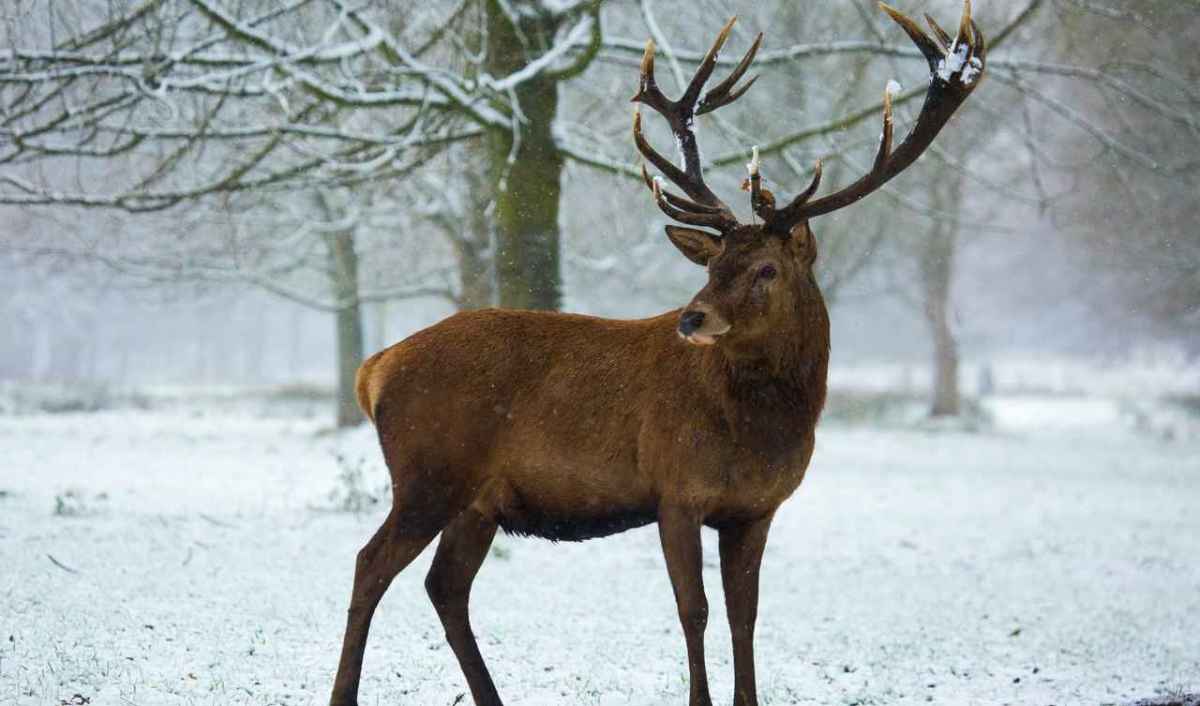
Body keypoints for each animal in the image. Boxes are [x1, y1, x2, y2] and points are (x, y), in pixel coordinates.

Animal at [329, 3, 985, 705]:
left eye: (766, 269)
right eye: (715, 265)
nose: (692, 317)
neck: (761, 431)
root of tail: (372, 370)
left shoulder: (756, 509)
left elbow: (746, 615)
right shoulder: (675, 489)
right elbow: (693, 610)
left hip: (478, 499)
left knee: (444, 586)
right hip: (428, 472)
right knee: (370, 564)